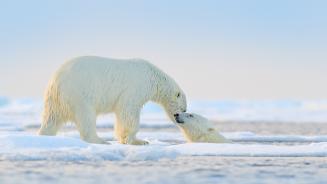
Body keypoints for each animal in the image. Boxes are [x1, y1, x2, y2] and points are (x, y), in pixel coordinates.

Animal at [37, 55, 187, 144]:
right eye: (183, 109)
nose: (178, 117)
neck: (153, 77)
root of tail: (55, 81)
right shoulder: (136, 88)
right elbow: (128, 111)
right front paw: (139, 141)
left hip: (55, 100)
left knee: (51, 119)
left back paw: (44, 136)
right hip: (79, 93)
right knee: (86, 117)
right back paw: (100, 140)